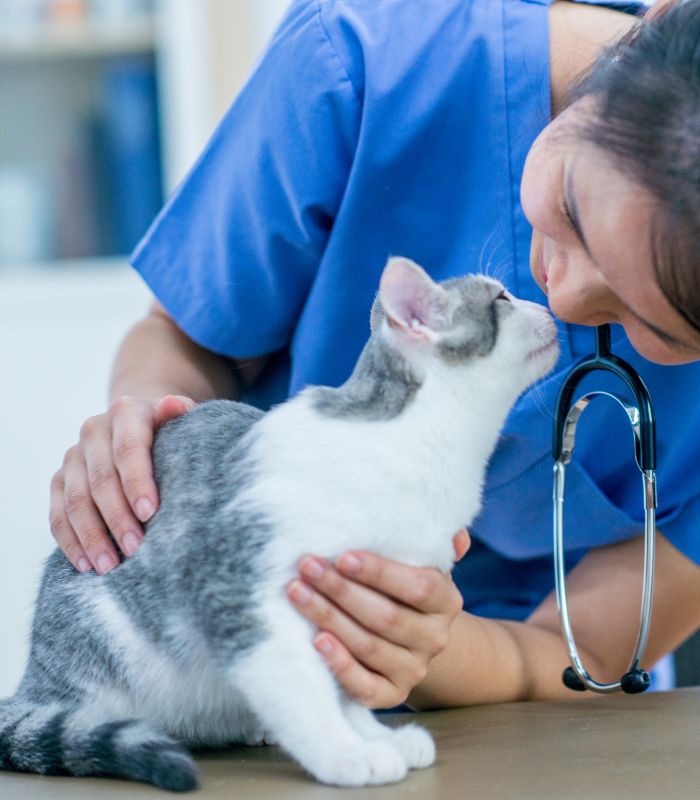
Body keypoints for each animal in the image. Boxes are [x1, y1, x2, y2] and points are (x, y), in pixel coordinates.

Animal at [0, 255, 556, 788]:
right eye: (502, 298)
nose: (545, 305)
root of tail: (37, 677)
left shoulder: (349, 611)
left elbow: (346, 685)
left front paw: (371, 735)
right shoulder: (240, 589)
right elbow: (303, 686)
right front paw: (344, 753)